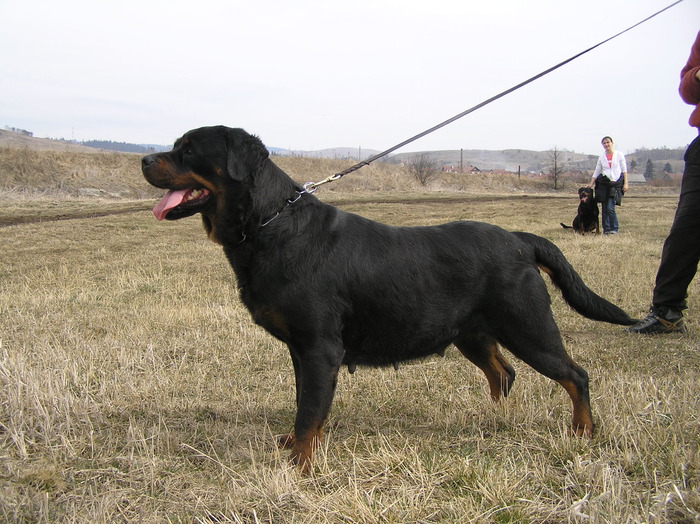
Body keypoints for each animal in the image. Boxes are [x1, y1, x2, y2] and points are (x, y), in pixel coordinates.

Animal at [142, 127, 636, 474]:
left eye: (189, 149)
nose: (145, 158)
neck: (272, 224)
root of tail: (519, 239)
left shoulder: (320, 347)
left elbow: (309, 411)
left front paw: (300, 465)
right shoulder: (301, 350)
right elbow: (305, 403)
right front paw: (294, 447)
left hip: (527, 326)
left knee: (574, 375)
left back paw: (582, 431)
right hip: (473, 334)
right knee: (503, 372)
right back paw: (492, 417)